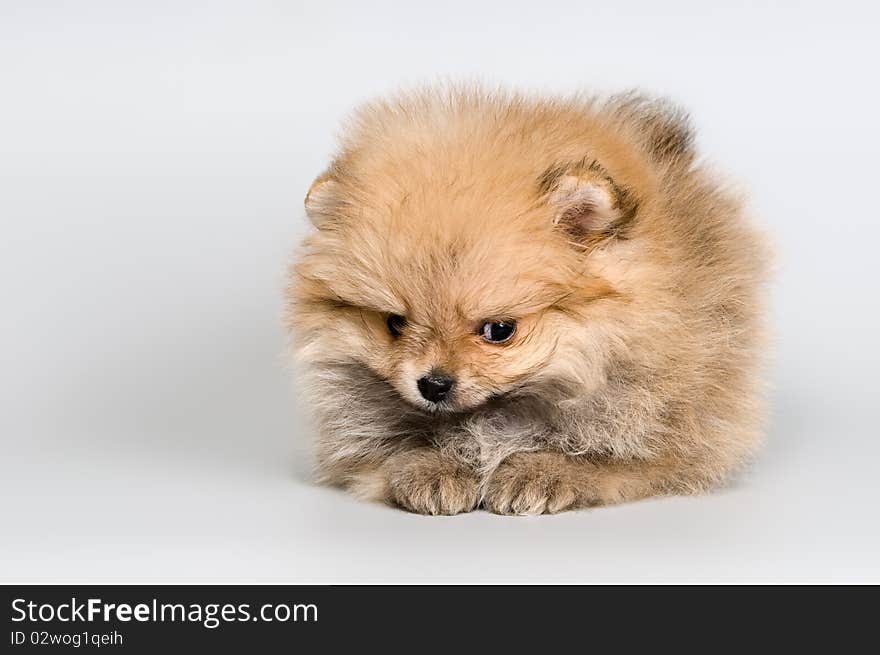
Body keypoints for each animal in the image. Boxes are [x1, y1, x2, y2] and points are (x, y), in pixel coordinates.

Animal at [286, 87, 768, 516]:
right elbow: (393, 450)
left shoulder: (660, 428)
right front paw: (432, 468)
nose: (434, 384)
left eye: (500, 330)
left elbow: (601, 458)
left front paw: (539, 472)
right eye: (394, 323)